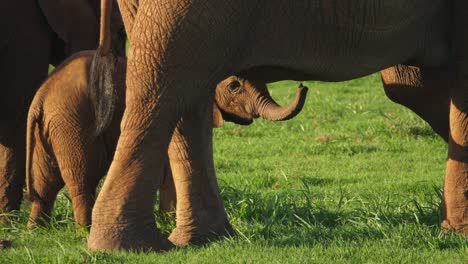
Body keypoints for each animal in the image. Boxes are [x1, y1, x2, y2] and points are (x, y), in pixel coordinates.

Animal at [25, 51, 308, 227]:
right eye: (234, 86)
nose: (302, 85)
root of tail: (41, 97)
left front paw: (168, 219)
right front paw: (170, 219)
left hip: (54, 127)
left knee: (45, 181)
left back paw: (36, 230)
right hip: (74, 123)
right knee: (82, 178)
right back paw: (85, 229)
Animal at [89, 0, 466, 252]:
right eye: (236, 86)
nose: (302, 87)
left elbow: (412, 84)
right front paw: (458, 233)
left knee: (187, 92)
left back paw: (204, 239)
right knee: (163, 84)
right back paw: (130, 246)